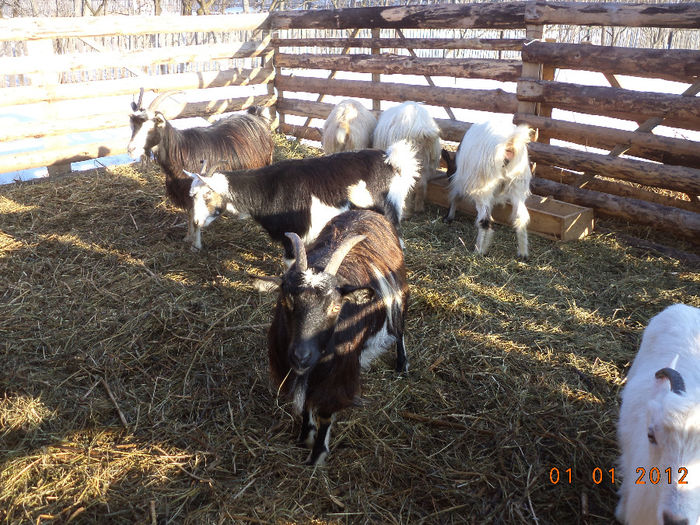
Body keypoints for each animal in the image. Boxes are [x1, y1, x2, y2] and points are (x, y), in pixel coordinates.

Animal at [127, 88, 274, 252]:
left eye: (152, 126)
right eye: (133, 125)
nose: (131, 149)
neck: (181, 153)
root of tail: (257, 117)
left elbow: (196, 218)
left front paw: (195, 245)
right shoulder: (187, 192)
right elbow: (190, 215)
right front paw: (188, 237)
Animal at [183, 139, 418, 264]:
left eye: (207, 195)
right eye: (191, 195)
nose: (196, 222)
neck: (268, 189)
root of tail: (391, 160)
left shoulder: (292, 233)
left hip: (387, 208)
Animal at [253, 209, 408, 462]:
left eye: (336, 307)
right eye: (286, 301)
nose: (301, 356)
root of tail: (367, 211)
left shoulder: (338, 372)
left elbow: (326, 411)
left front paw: (317, 455)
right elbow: (307, 402)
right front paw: (305, 436)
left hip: (400, 295)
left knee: (400, 328)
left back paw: (402, 365)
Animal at [442, 118, 532, 258]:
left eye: (447, 174)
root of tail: (510, 143)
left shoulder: (460, 181)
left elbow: (455, 197)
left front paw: (449, 217)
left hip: (482, 185)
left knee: (484, 220)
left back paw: (479, 250)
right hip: (518, 185)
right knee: (521, 217)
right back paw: (522, 253)